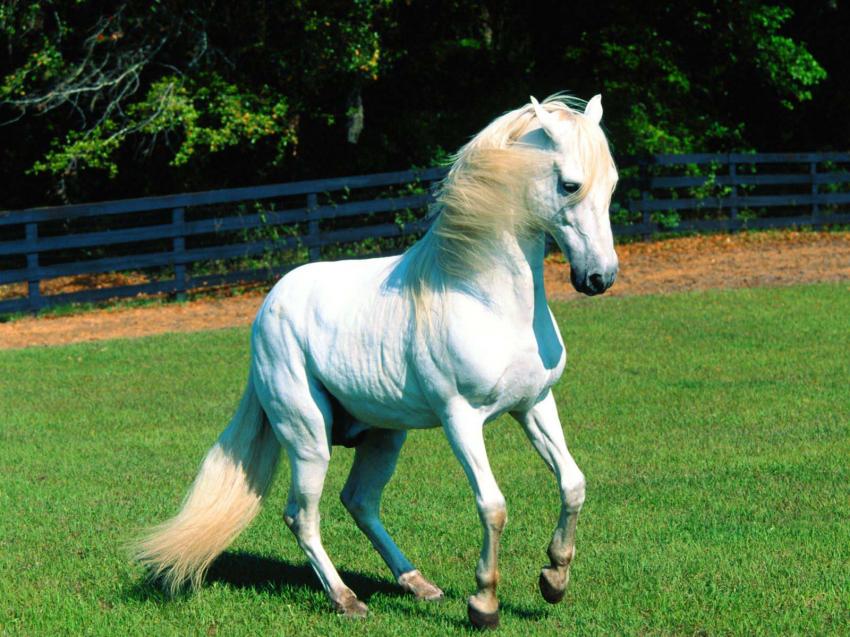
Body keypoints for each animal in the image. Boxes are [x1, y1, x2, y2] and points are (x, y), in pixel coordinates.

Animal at [134, 94, 619, 628]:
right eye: (570, 184)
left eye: (612, 182)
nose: (599, 278)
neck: (486, 300)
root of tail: (269, 306)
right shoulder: (461, 419)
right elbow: (492, 505)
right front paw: (484, 605)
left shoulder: (534, 404)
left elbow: (573, 484)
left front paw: (553, 580)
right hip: (308, 438)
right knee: (301, 515)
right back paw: (346, 600)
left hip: (385, 436)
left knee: (360, 501)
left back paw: (419, 585)